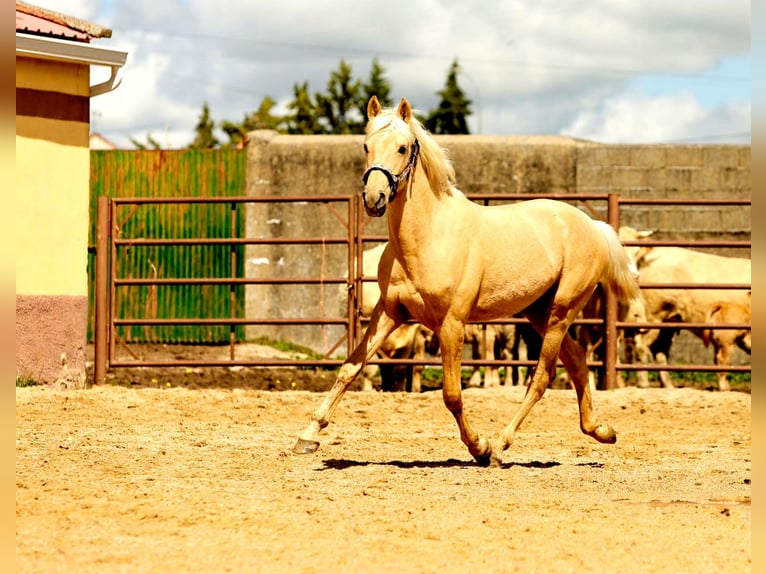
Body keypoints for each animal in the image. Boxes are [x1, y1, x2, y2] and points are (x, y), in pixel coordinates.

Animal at [294, 98, 640, 468]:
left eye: (402, 147)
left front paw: (479, 447)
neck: (429, 237)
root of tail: (593, 225)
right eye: (366, 146)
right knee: (576, 360)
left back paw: (500, 447)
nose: (375, 199)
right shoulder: (388, 314)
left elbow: (452, 395)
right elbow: (350, 368)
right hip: (539, 311)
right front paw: (307, 436)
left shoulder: (452, 324)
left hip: (562, 311)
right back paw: (601, 430)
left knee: (542, 376)